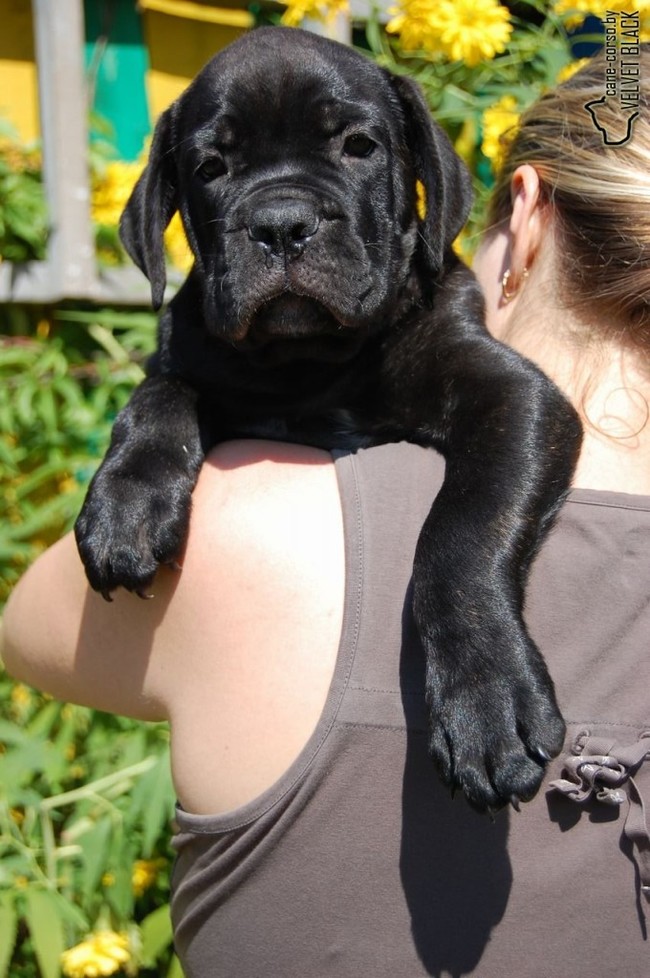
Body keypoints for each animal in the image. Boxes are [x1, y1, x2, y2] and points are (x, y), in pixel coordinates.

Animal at [73, 26, 580, 812]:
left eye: (359, 146)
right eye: (211, 167)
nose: (281, 224)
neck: (311, 361)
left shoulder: (513, 396)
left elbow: (462, 534)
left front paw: (486, 700)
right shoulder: (190, 358)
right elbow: (155, 398)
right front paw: (124, 506)